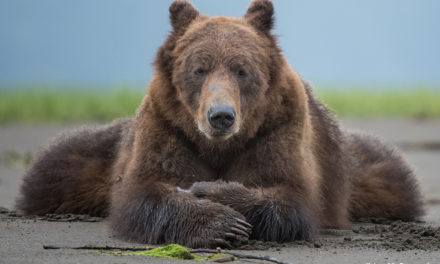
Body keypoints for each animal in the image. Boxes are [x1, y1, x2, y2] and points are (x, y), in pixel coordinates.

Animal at [15, 0, 424, 248]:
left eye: (242, 70)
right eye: (199, 68)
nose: (221, 115)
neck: (218, 145)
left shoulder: (279, 129)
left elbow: (288, 195)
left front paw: (212, 191)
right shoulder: (167, 127)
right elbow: (144, 190)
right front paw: (220, 225)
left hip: (358, 168)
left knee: (392, 178)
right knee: (56, 168)